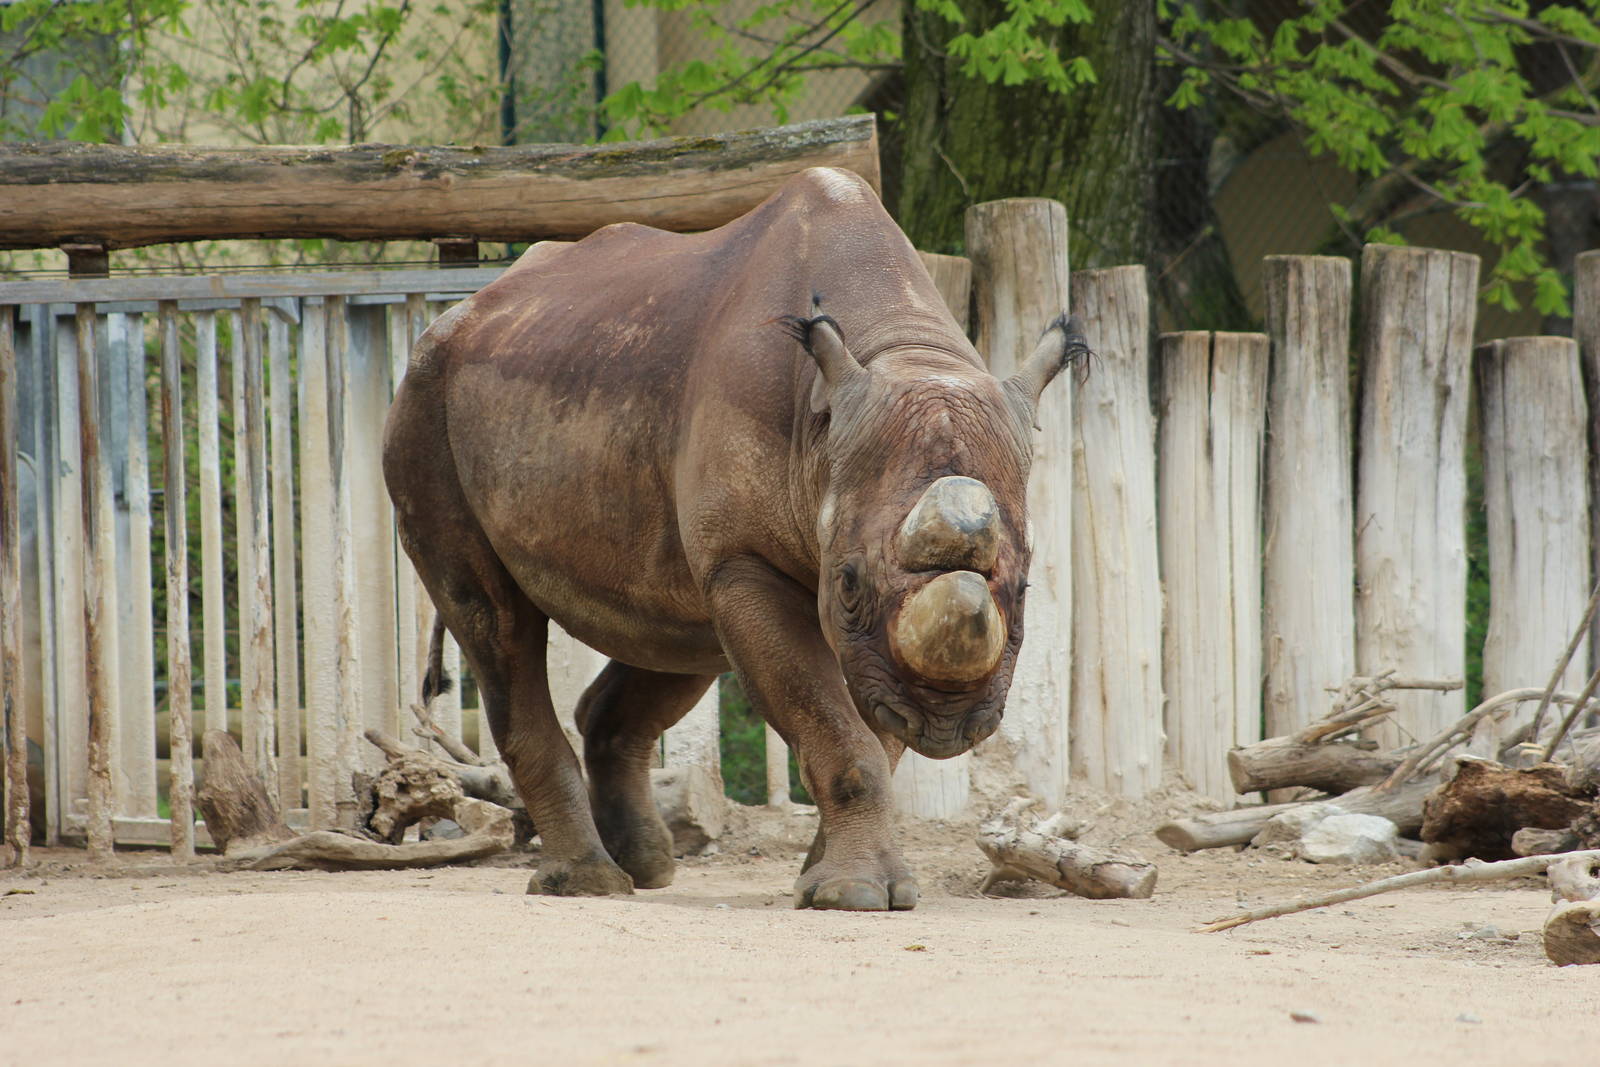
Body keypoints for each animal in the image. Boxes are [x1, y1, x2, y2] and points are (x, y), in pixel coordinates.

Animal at [383, 166, 1086, 910]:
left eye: (1025, 587)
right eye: (849, 582)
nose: (946, 722)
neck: (902, 351)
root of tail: (464, 310)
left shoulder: (861, 631)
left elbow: (871, 728)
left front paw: (824, 881)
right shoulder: (753, 561)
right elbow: (844, 733)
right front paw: (854, 894)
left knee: (671, 631)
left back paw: (645, 869)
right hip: (425, 399)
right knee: (496, 624)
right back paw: (589, 883)